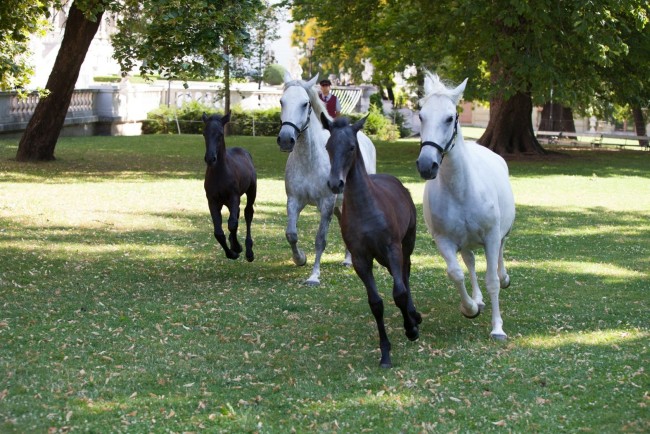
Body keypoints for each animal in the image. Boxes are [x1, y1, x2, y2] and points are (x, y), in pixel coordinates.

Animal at [202, 112, 256, 262]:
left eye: (220, 134)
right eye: (204, 133)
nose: (210, 158)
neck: (220, 173)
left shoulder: (233, 196)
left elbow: (232, 224)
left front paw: (237, 247)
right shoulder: (212, 201)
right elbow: (218, 232)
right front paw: (232, 253)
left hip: (251, 191)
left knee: (247, 213)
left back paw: (249, 251)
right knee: (237, 213)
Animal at [276, 74, 378, 284]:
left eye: (305, 103)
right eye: (282, 101)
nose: (286, 139)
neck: (310, 160)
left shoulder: (326, 203)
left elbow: (320, 240)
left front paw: (314, 276)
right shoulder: (294, 200)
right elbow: (291, 234)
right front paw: (300, 258)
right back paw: (347, 259)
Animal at [320, 114, 420, 366]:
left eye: (351, 147)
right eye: (328, 147)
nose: (335, 183)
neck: (366, 210)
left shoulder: (393, 248)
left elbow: (399, 293)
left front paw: (411, 329)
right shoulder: (361, 259)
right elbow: (375, 303)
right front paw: (385, 353)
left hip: (406, 244)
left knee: (405, 273)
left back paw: (414, 316)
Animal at [416, 73, 516, 340]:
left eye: (450, 118)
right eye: (421, 115)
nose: (426, 165)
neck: (461, 192)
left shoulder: (491, 237)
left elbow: (492, 280)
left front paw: (497, 328)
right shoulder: (444, 240)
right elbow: (456, 273)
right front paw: (470, 307)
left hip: (499, 234)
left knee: (500, 256)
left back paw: (504, 277)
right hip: (466, 243)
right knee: (470, 262)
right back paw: (477, 299)